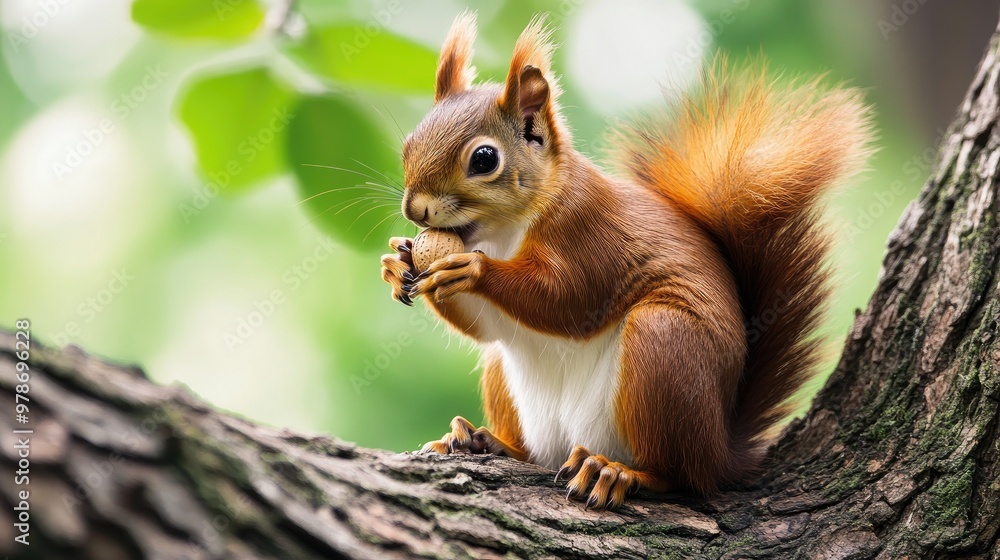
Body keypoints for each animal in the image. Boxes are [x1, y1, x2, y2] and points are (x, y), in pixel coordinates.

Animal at [380, 13, 872, 510]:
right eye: (409, 144)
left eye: (484, 159)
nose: (415, 210)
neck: (502, 234)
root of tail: (720, 451)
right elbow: (484, 326)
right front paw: (398, 263)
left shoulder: (590, 235)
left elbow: (568, 302)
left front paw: (473, 270)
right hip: (511, 375)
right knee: (530, 444)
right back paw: (483, 441)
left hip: (665, 348)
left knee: (679, 475)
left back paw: (618, 472)